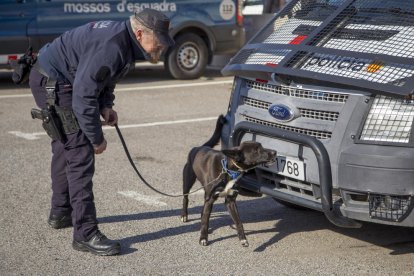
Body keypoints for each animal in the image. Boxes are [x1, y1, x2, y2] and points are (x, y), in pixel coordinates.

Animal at [180, 114, 274, 246]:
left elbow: (238, 221)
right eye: (256, 150)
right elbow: (205, 222)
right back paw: (184, 215)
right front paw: (203, 238)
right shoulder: (211, 198)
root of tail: (199, 147)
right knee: (186, 198)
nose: (275, 152)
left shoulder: (230, 200)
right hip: (188, 179)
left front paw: (243, 239)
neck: (228, 170)